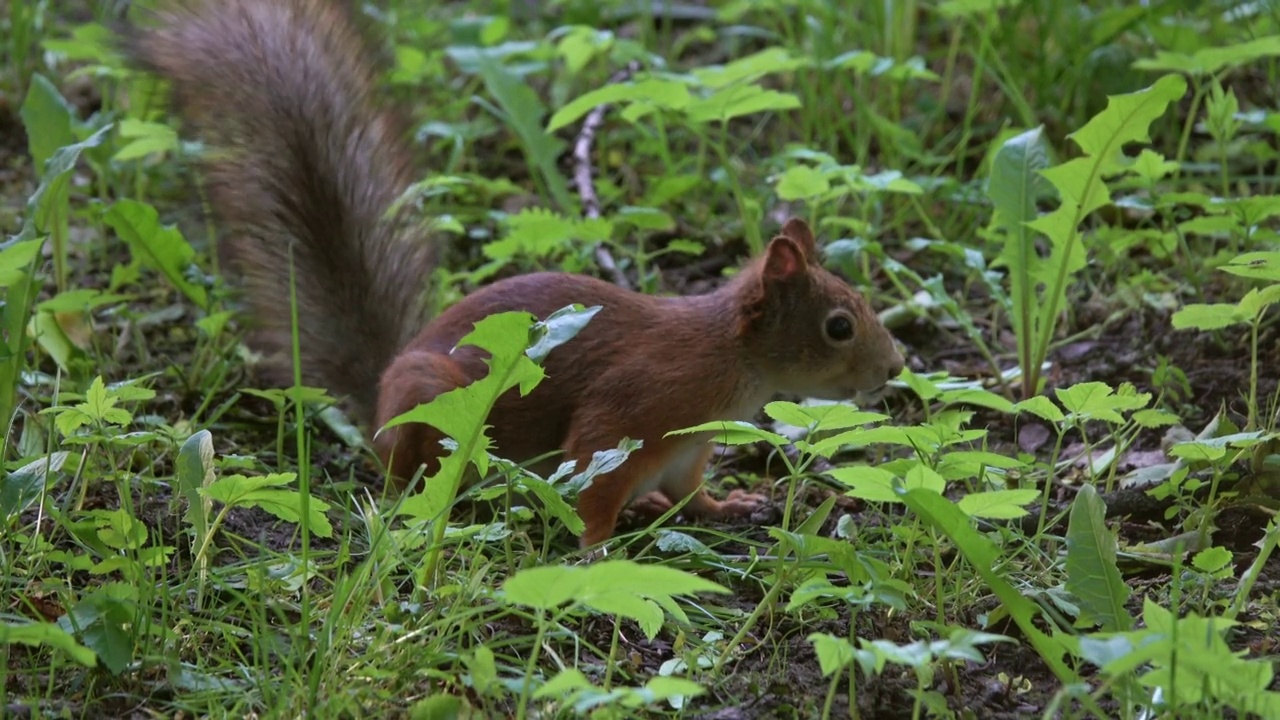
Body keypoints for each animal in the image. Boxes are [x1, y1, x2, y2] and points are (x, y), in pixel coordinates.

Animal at [132, 0, 901, 545]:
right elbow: (592, 487)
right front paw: (595, 553)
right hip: (428, 407)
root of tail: (376, 400)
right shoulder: (629, 413)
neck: (730, 360)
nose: (894, 369)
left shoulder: (688, 448)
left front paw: (729, 504)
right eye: (838, 326)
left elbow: (691, 493)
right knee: (405, 474)